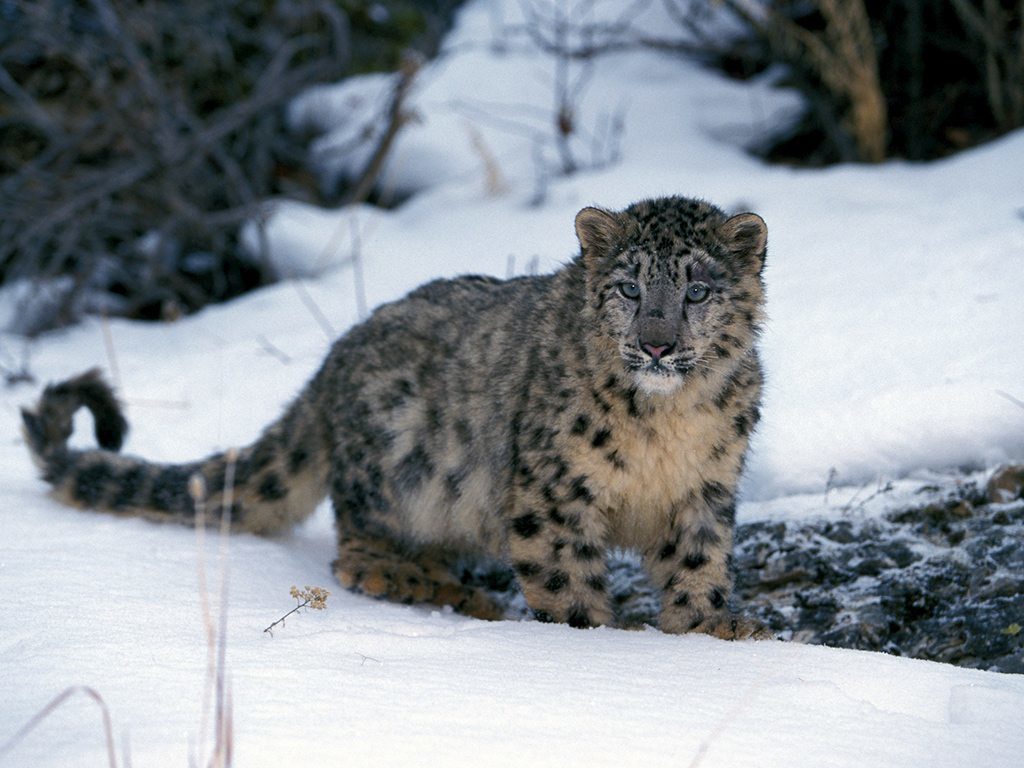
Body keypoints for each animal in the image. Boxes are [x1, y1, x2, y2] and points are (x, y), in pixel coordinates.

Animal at [22, 196, 770, 638]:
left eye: (698, 290)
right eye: (629, 288)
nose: (657, 343)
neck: (666, 427)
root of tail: (335, 357)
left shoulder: (705, 490)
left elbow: (699, 565)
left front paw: (711, 631)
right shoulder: (554, 496)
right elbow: (566, 583)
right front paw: (598, 637)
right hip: (404, 468)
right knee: (354, 549)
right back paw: (443, 589)